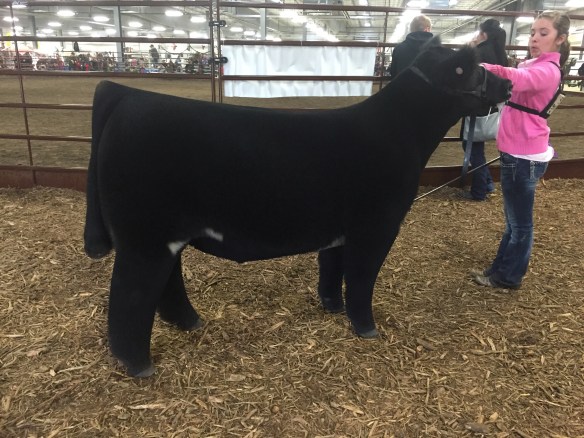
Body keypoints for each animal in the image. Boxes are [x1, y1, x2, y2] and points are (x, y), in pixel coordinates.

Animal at [84, 40, 512, 377]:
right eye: (473, 68)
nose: (508, 83)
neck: (397, 131)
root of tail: (126, 94)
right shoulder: (377, 226)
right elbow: (361, 278)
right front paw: (366, 327)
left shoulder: (339, 230)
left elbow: (333, 269)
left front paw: (333, 307)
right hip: (144, 240)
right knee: (130, 296)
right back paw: (139, 364)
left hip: (163, 237)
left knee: (167, 285)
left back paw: (190, 322)